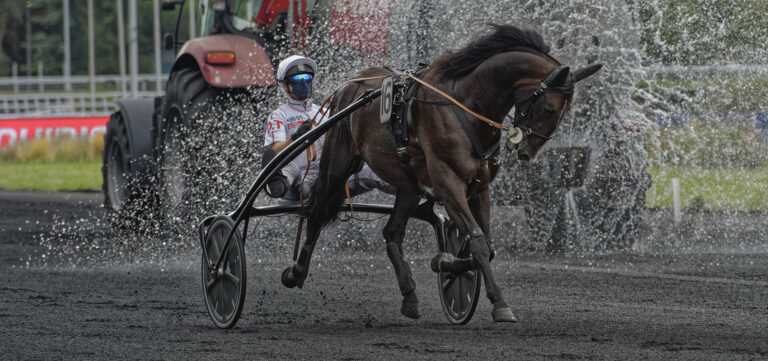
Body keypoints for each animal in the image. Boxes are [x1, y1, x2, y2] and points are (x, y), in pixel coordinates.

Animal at [280, 25, 604, 322]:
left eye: (564, 113)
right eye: (549, 109)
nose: (528, 153)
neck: (467, 106)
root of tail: (350, 85)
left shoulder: (479, 187)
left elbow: (485, 245)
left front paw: (449, 264)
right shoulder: (448, 182)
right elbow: (478, 243)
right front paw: (498, 302)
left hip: (407, 183)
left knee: (392, 233)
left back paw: (410, 295)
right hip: (338, 160)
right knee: (317, 212)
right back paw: (297, 272)